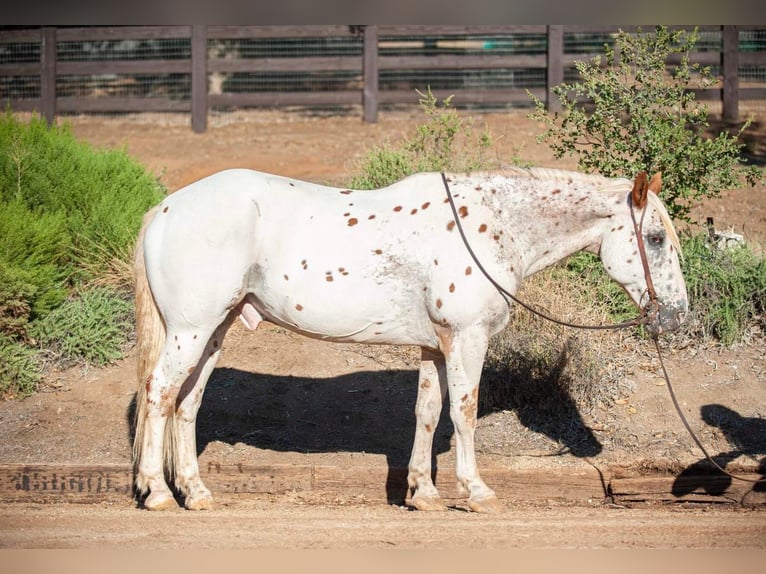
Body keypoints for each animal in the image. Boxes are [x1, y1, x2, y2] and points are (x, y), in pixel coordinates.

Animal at [132, 165, 688, 512]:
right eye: (655, 238)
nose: (677, 316)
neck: (489, 228)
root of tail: (163, 210)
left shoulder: (435, 346)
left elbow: (427, 412)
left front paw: (423, 493)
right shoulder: (466, 339)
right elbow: (463, 411)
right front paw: (476, 492)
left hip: (214, 331)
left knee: (186, 403)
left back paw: (195, 492)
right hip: (191, 331)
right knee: (159, 395)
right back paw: (157, 492)